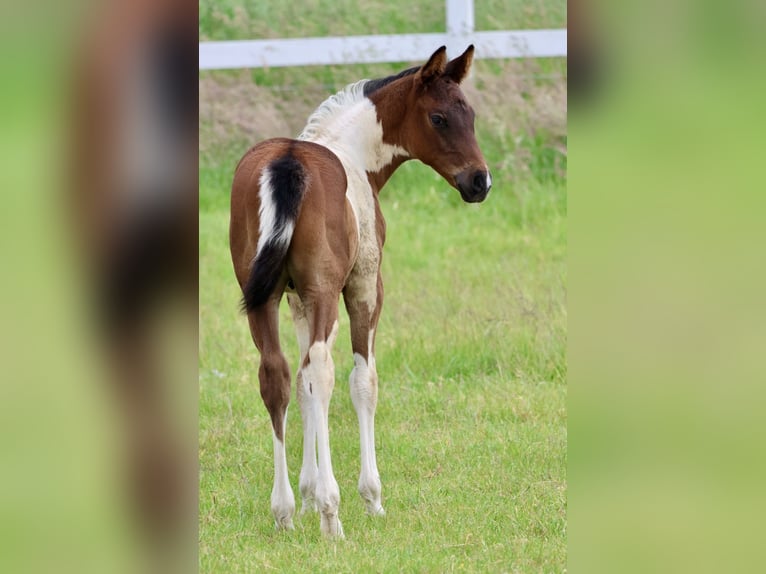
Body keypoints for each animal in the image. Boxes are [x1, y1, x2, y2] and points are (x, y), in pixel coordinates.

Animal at [230, 46, 492, 540]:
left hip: (262, 297)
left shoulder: (297, 299)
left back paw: (284, 511)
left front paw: (307, 494)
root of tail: (285, 162)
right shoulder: (364, 286)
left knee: (277, 375)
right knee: (322, 372)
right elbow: (360, 380)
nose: (480, 182)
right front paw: (368, 497)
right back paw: (332, 517)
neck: (353, 154)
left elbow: (302, 379)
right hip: (326, 292)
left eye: (470, 116)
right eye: (439, 118)